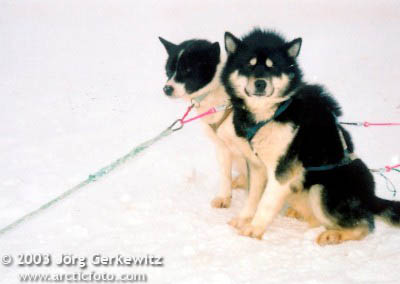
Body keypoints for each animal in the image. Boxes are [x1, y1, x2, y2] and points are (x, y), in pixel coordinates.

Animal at [159, 36, 266, 209]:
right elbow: (225, 175)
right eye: (169, 70)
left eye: (187, 70)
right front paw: (224, 197)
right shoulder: (222, 147)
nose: (167, 89)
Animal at [222, 28, 400, 245]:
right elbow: (253, 197)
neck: (270, 114)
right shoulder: (256, 166)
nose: (260, 84)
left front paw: (254, 229)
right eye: (249, 64)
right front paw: (244, 218)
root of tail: (370, 196)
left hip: (320, 190)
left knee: (365, 225)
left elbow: (265, 203)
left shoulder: (282, 173)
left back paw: (334, 234)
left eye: (273, 68)